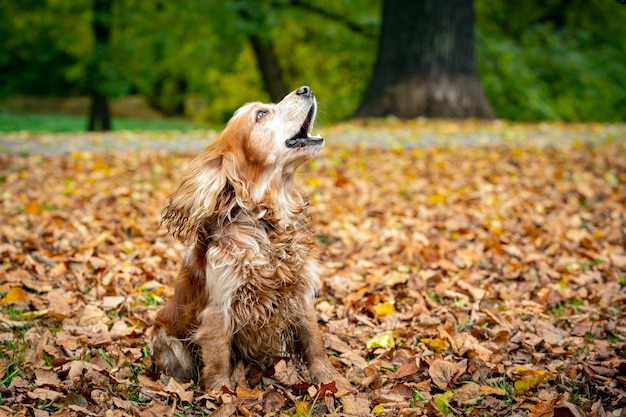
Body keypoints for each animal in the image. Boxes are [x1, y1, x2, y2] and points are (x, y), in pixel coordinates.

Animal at [149, 86, 348, 392]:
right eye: (261, 114)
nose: (305, 89)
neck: (268, 223)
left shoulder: (301, 295)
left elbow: (313, 340)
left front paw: (329, 381)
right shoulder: (219, 309)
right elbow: (218, 361)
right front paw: (222, 395)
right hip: (169, 342)